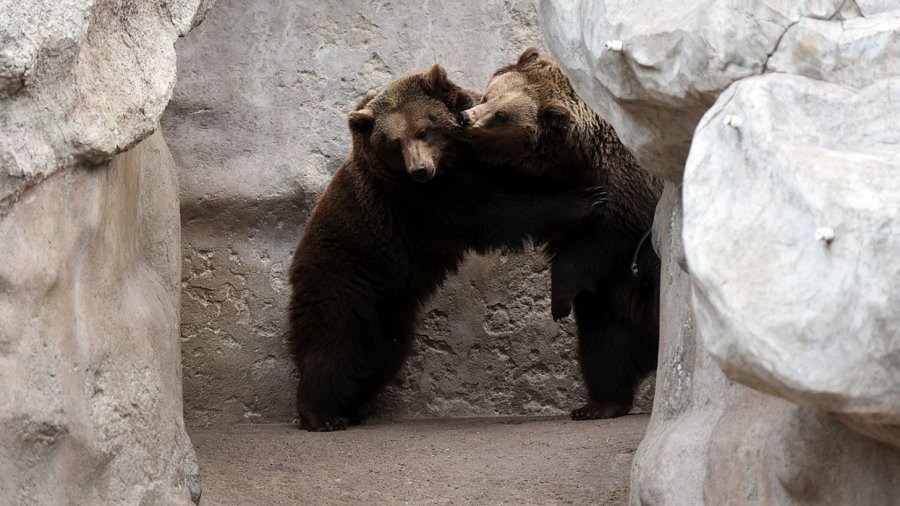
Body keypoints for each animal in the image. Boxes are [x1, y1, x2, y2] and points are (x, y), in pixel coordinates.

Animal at [287, 64, 607, 431]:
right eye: (394, 142)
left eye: (424, 130)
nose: (419, 169)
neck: (451, 164)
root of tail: (296, 263)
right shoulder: (425, 202)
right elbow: (494, 212)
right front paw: (584, 200)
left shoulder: (468, 168)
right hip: (344, 273)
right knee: (333, 340)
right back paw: (321, 414)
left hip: (389, 301)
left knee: (380, 352)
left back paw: (352, 406)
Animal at [458, 47, 664, 420]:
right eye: (489, 95)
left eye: (501, 117)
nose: (466, 117)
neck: (578, 157)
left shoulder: (626, 188)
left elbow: (601, 240)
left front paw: (558, 301)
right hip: (616, 310)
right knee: (604, 350)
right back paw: (597, 405)